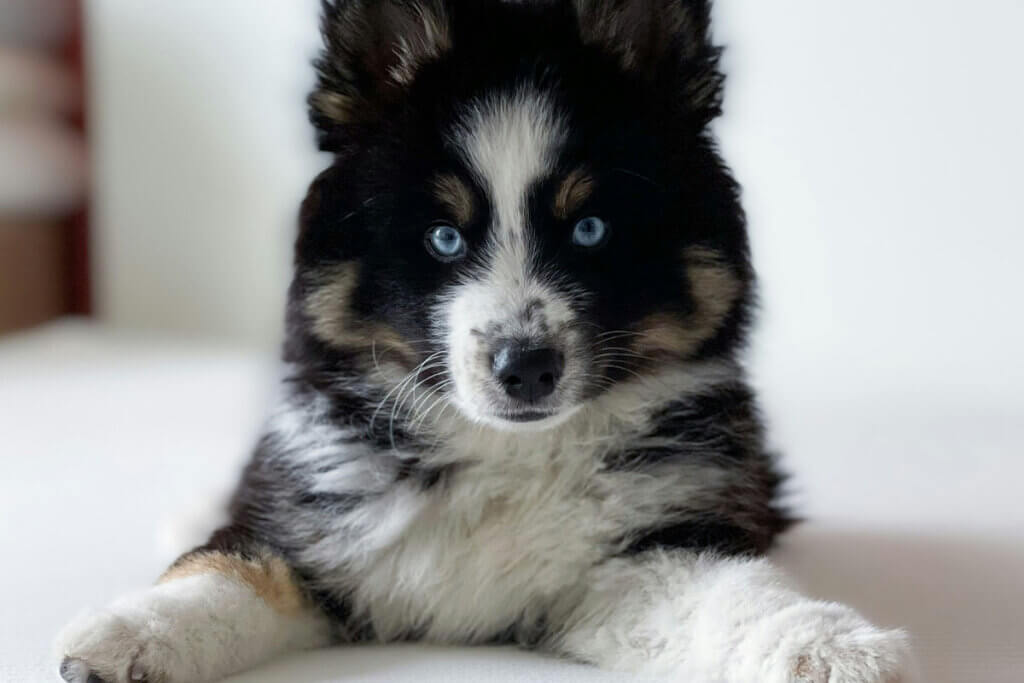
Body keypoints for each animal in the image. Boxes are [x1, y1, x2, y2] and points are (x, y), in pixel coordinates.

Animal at [54, 2, 913, 679]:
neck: (505, 452)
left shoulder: (637, 559)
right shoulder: (317, 520)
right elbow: (227, 566)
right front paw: (125, 633)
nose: (524, 367)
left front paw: (828, 645)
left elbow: (730, 591)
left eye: (590, 229)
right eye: (443, 237)